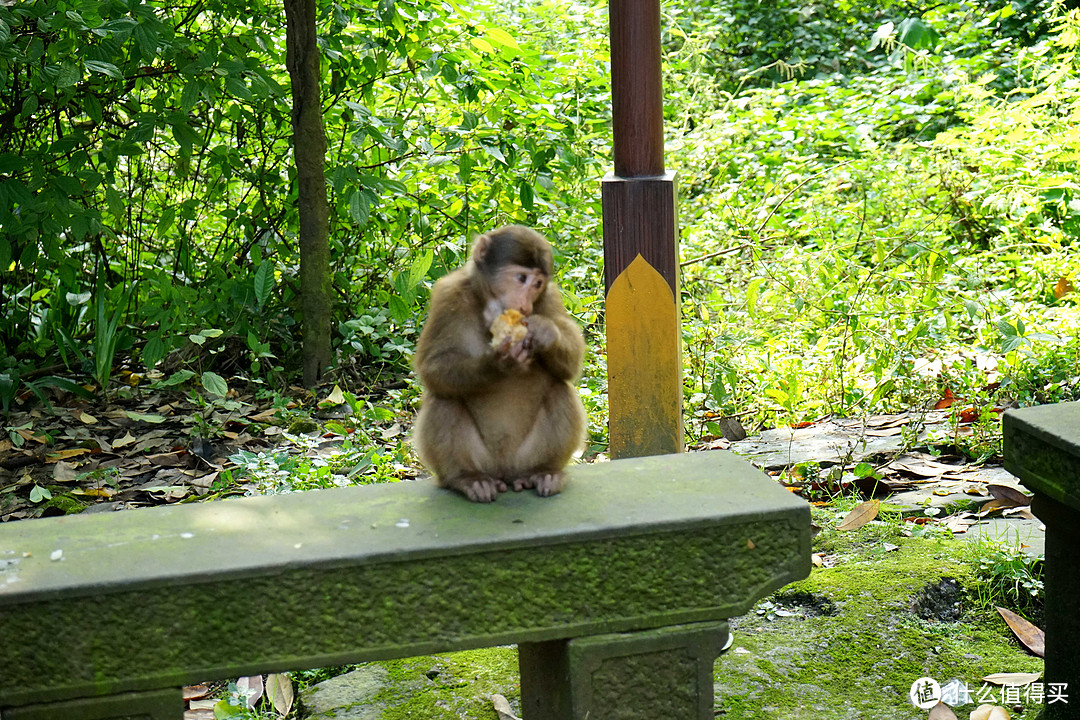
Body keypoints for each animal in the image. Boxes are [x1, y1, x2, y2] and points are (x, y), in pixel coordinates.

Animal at [410, 225, 587, 500]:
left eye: (538, 284)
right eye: (521, 278)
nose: (524, 305)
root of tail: (505, 471)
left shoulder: (549, 297)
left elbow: (571, 364)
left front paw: (545, 332)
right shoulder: (448, 296)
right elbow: (434, 368)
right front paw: (498, 364)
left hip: (524, 457)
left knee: (559, 388)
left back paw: (543, 472)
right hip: (484, 461)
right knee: (445, 398)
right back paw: (467, 479)